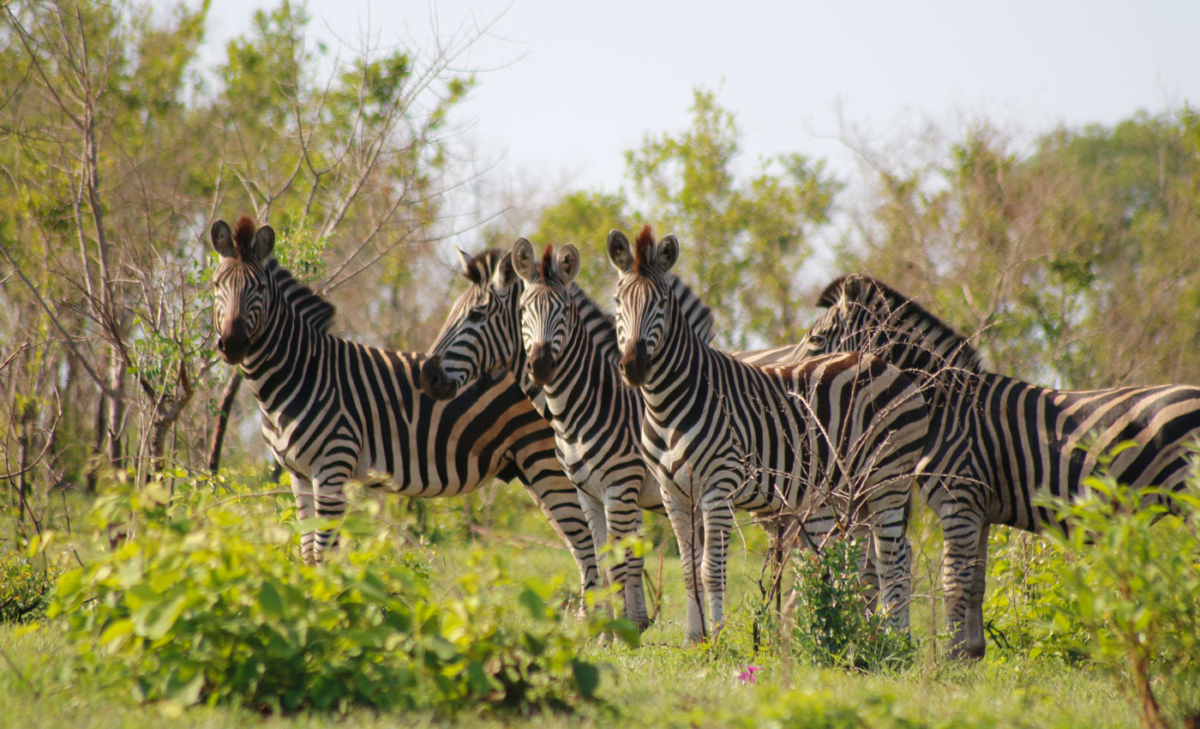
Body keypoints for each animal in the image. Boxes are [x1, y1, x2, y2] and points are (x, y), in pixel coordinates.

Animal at [209, 215, 601, 600]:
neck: (301, 373)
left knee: (589, 546)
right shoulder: (298, 474)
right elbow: (307, 554)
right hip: (533, 469)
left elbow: (325, 553)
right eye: (216, 286)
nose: (232, 344)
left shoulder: (332, 466)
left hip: (549, 463)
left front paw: (330, 607)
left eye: (259, 288)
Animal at [419, 240, 722, 631]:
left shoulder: (619, 485)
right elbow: (616, 559)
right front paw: (621, 624)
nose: (427, 376)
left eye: (476, 314)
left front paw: (619, 625)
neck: (601, 398)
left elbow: (613, 560)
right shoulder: (608, 490)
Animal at [608, 228, 931, 644]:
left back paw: (895, 640)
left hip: (888, 482)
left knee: (895, 560)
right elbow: (689, 570)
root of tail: (887, 366)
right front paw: (694, 638)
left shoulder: (719, 486)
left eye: (661, 303)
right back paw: (871, 634)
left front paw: (717, 639)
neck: (667, 405)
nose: (634, 366)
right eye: (617, 301)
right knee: (878, 556)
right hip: (853, 495)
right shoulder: (674, 494)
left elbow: (711, 570)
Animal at [792, 273, 1200, 658]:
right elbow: (976, 582)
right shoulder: (981, 509)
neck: (945, 406)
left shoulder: (959, 502)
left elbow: (953, 583)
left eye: (816, 340)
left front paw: (950, 658)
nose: (789, 379)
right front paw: (971, 654)